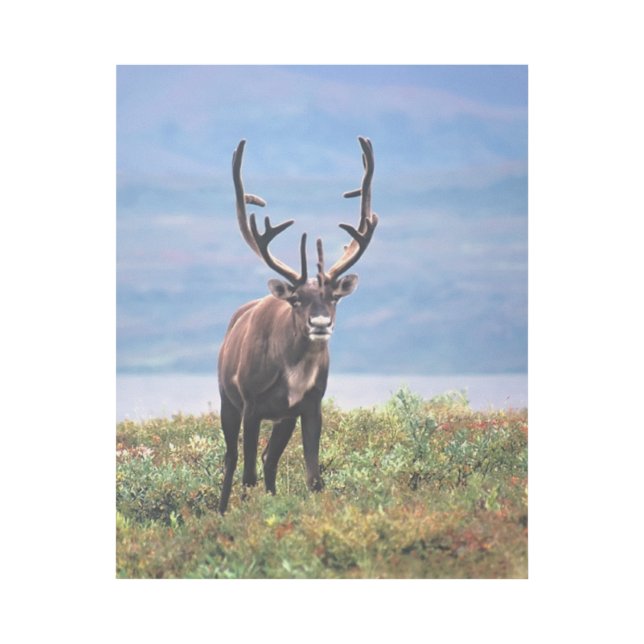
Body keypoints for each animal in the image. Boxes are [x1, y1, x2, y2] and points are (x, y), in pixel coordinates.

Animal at [217, 137, 378, 514]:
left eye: (334, 297)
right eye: (296, 299)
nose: (320, 322)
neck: (293, 370)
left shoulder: (309, 405)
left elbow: (314, 477)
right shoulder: (251, 405)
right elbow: (247, 476)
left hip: (283, 419)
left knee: (268, 460)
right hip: (227, 401)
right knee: (232, 461)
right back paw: (221, 508)